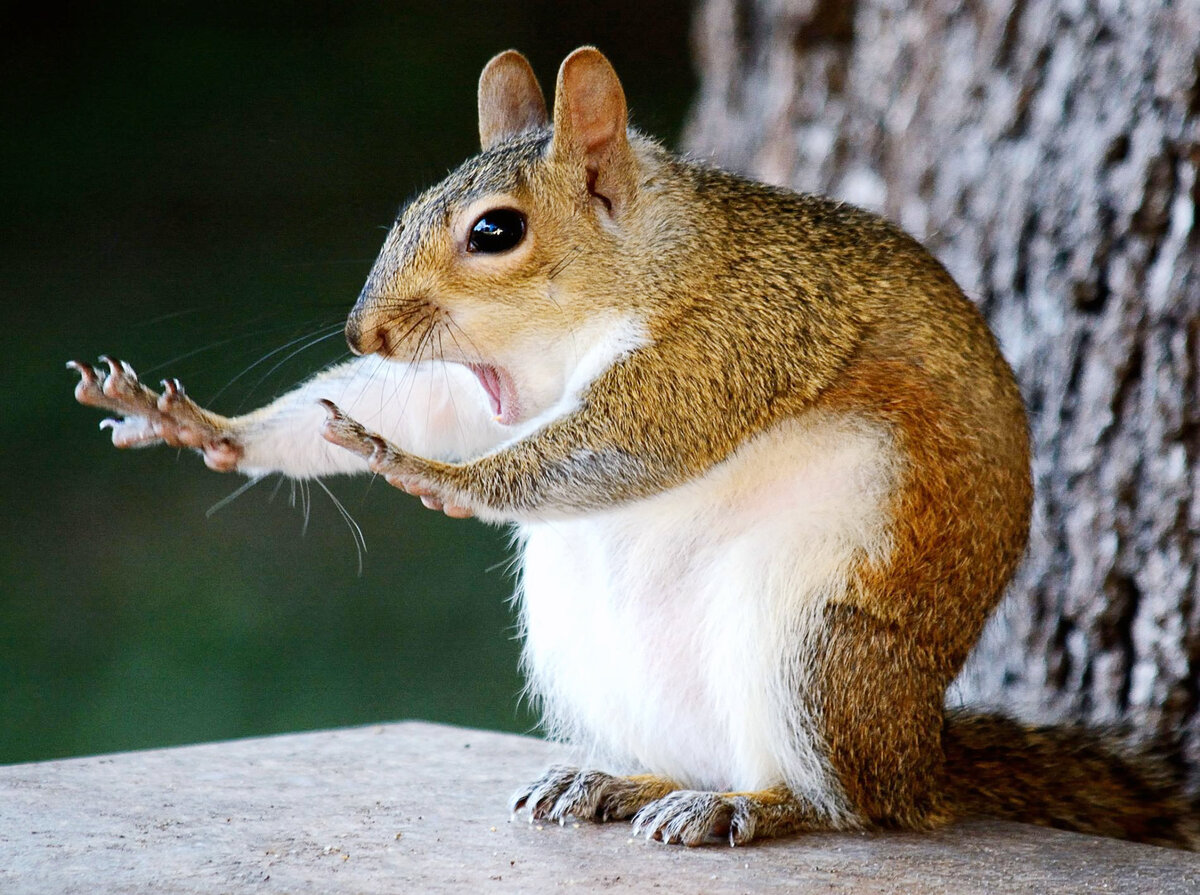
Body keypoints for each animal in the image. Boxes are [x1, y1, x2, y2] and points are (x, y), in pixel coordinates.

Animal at [70, 47, 1195, 844]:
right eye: (409, 208)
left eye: (495, 231)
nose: (366, 333)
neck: (642, 270)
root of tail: (922, 757)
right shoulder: (492, 386)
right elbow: (419, 406)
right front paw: (207, 426)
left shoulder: (739, 336)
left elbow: (625, 442)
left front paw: (432, 475)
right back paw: (615, 779)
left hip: (815, 647)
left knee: (851, 804)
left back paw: (753, 807)